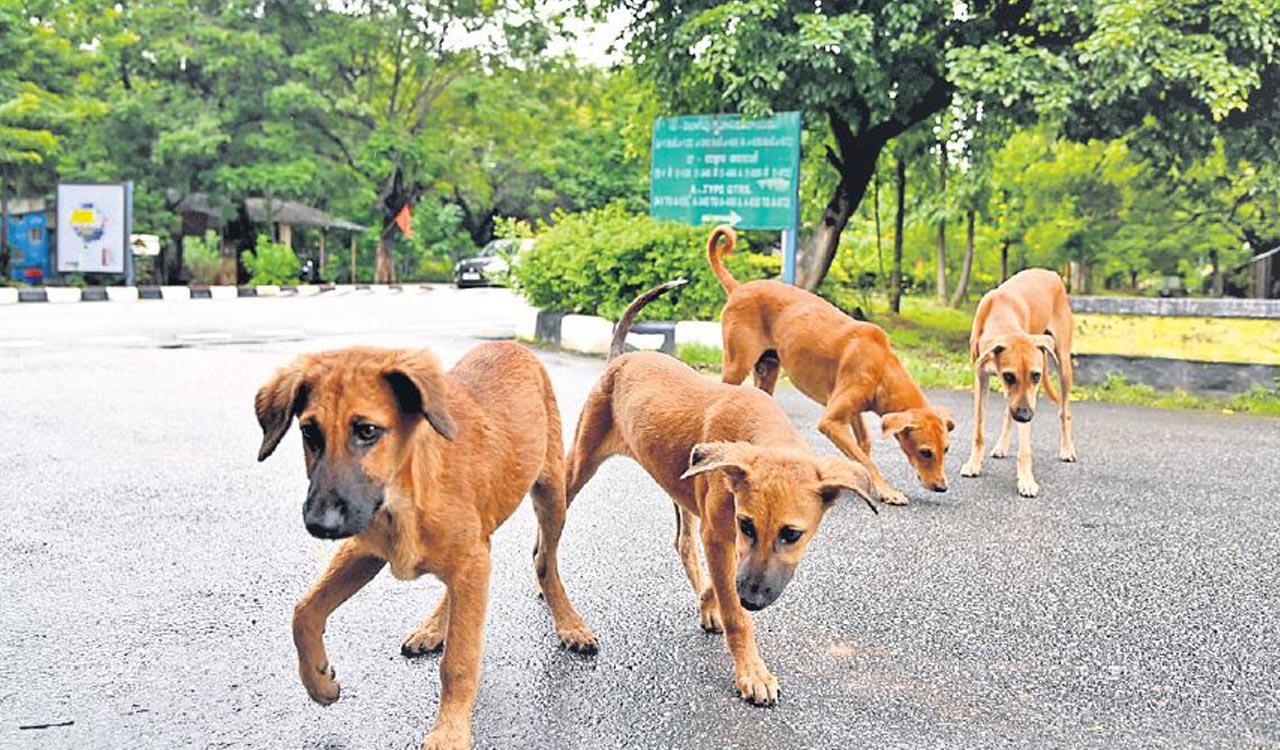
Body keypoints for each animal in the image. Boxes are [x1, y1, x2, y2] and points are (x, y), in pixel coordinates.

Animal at [253, 340, 593, 747]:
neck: (405, 493)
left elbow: (458, 662)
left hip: (552, 493)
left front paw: (449, 732)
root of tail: (509, 343)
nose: (320, 524)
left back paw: (569, 624)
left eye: (367, 431)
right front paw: (318, 682)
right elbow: (304, 610)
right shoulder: (365, 550)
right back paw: (433, 628)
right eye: (308, 432)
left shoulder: (470, 562)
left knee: (545, 559)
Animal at [565, 277, 875, 701]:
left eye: (792, 535)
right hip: (580, 464)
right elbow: (734, 609)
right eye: (747, 525)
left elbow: (722, 582)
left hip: (681, 487)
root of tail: (620, 359)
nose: (752, 598)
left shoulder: (719, 536)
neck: (765, 434)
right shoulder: (719, 536)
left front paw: (711, 604)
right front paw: (752, 671)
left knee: (682, 542)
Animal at [711, 223, 952, 501]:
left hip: (767, 373)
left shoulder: (853, 413)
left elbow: (863, 449)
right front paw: (887, 490)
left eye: (946, 449)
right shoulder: (831, 422)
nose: (942, 487)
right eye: (926, 452)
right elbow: (866, 460)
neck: (881, 366)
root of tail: (739, 288)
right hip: (736, 366)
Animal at [957, 268, 1075, 496]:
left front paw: (1026, 480)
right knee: (1008, 412)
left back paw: (1067, 449)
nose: (1025, 416)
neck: (1001, 312)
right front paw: (974, 463)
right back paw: (1001, 446)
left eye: (1036, 376)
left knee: (1064, 412)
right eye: (1009, 376)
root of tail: (1052, 273)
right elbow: (979, 429)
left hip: (1063, 363)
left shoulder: (1029, 399)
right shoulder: (981, 377)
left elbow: (1025, 447)